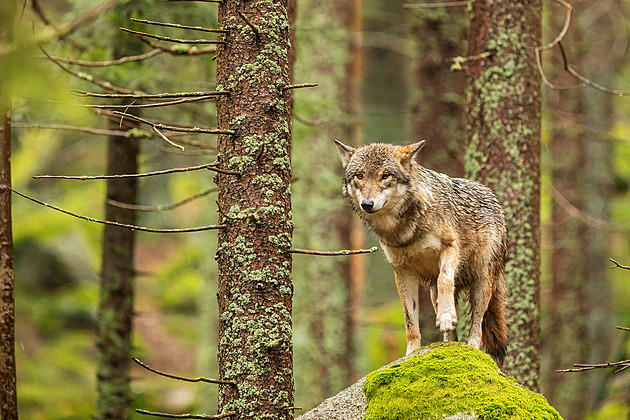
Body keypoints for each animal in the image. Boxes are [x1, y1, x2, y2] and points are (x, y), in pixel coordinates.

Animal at [336, 140, 508, 364]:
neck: (404, 230)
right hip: (434, 292)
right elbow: (410, 320)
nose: (367, 204)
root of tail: (492, 196)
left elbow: (445, 280)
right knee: (452, 333)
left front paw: (446, 316)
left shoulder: (450, 249)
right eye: (360, 175)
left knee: (477, 325)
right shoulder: (402, 272)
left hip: (482, 282)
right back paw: (447, 346)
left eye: (385, 175)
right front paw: (411, 354)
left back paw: (471, 349)